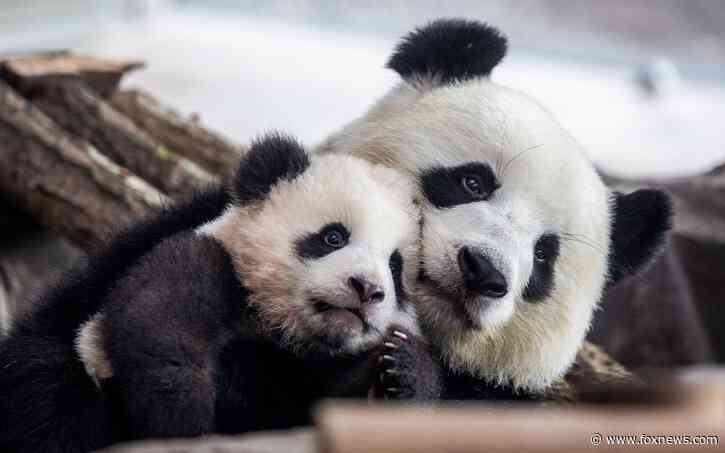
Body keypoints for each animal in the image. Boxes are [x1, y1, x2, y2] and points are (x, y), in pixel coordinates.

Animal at [0, 133, 419, 452]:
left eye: (395, 268)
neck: (278, 330)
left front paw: (400, 371)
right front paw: (181, 417)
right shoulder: (206, 262)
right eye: (333, 237)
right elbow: (161, 317)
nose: (367, 289)